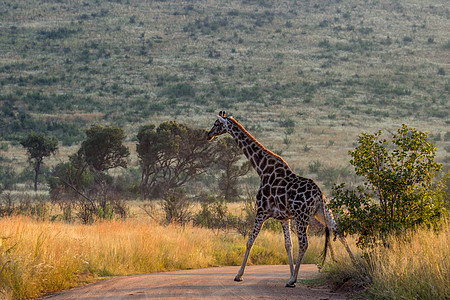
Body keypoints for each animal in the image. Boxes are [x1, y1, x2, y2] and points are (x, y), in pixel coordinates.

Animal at [207, 111, 356, 288]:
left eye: (216, 123)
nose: (208, 135)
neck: (261, 169)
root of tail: (320, 194)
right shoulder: (284, 217)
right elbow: (288, 245)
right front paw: (291, 274)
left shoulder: (261, 211)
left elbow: (250, 241)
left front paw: (239, 275)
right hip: (322, 212)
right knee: (339, 232)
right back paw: (356, 265)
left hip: (302, 216)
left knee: (304, 243)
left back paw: (293, 280)